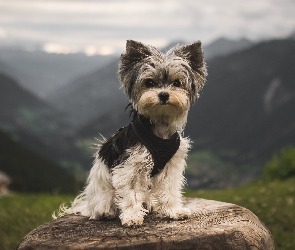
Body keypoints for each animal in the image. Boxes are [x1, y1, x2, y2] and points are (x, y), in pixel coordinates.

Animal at [56, 39, 208, 227]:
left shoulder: (170, 166)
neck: (159, 129)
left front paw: (173, 210)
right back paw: (105, 212)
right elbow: (131, 194)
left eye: (177, 83)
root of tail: (87, 205)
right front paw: (132, 217)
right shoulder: (130, 167)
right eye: (149, 83)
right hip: (103, 194)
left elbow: (169, 189)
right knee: (102, 206)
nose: (164, 94)